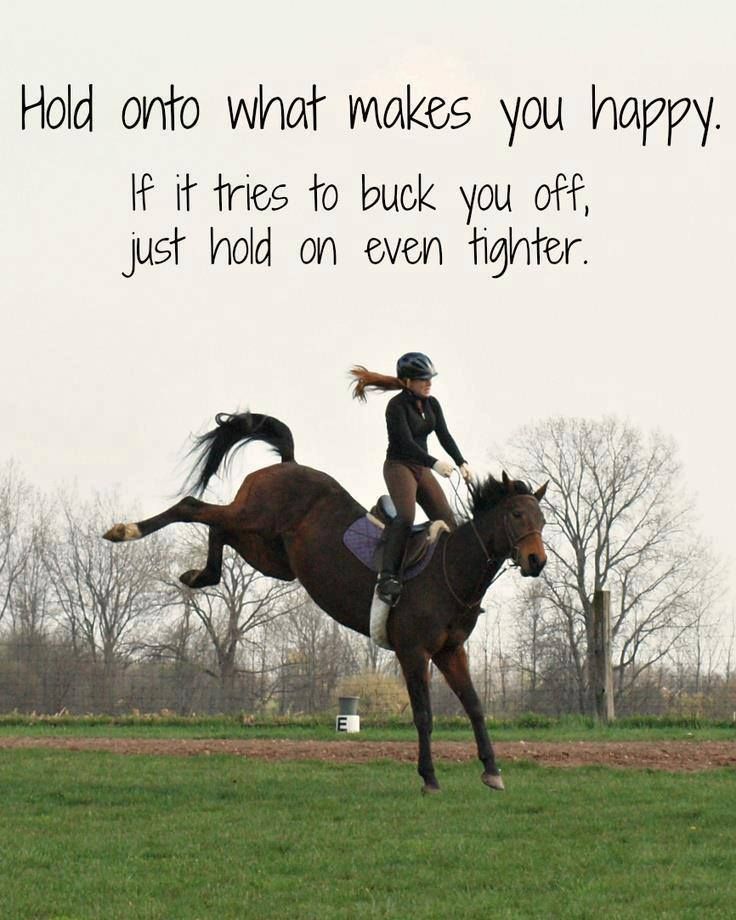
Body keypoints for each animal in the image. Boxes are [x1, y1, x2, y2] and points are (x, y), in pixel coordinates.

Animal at [105, 410, 548, 792]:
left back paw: (201, 575)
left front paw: (492, 771)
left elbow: (474, 706)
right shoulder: (413, 651)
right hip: (254, 518)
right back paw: (126, 530)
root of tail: (289, 463)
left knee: (218, 529)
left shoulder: (450, 651)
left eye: (541, 520)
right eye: (515, 516)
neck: (450, 572)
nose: (536, 561)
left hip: (270, 553)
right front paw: (429, 777)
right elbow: (423, 714)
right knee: (194, 507)